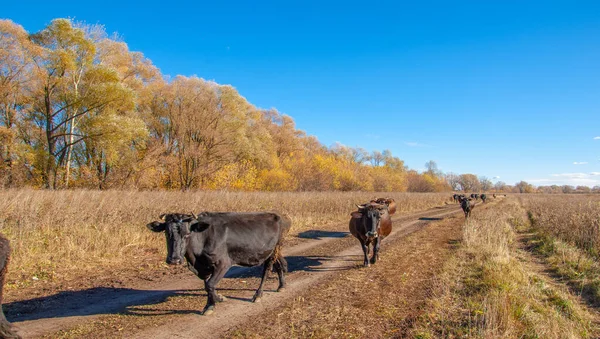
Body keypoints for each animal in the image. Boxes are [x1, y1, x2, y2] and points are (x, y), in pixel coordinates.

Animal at [149, 212, 292, 316]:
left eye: (187, 234)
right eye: (167, 233)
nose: (174, 260)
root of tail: (278, 215)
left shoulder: (223, 263)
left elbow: (210, 284)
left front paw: (214, 303)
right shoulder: (203, 266)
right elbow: (207, 285)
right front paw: (214, 301)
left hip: (271, 252)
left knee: (267, 270)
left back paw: (258, 295)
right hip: (274, 251)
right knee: (280, 264)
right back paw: (282, 285)